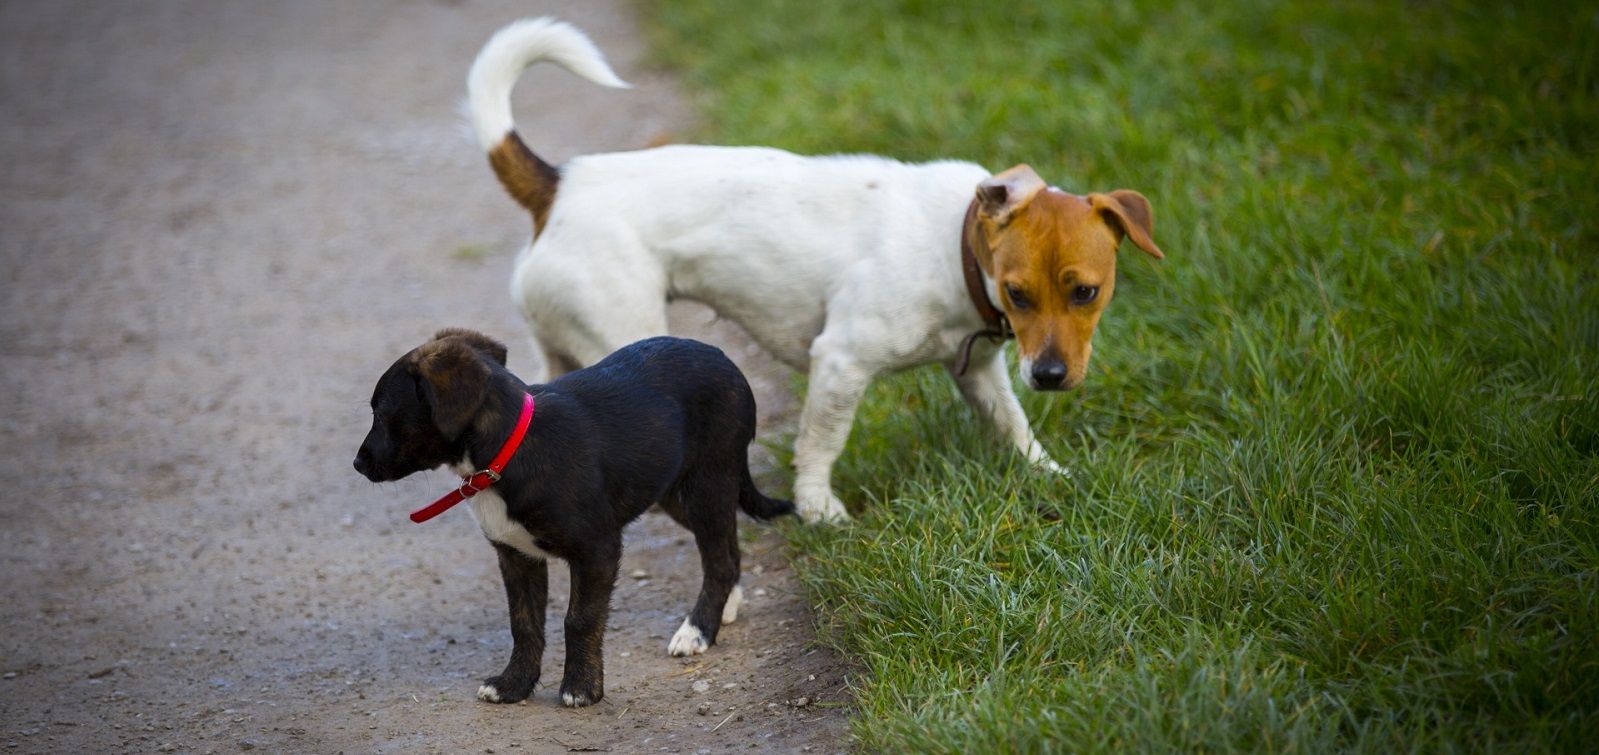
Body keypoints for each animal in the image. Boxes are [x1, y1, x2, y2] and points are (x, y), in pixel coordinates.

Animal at [354, 329, 793, 707]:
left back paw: (697, 631)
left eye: (382, 412)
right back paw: (724, 608)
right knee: (728, 550)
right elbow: (524, 624)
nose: (357, 464)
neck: (507, 452)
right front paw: (514, 685)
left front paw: (582, 687)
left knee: (719, 559)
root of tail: (725, 359)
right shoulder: (517, 556)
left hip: (708, 483)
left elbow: (579, 619)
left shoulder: (597, 549)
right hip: (674, 492)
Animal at [463, 19, 1164, 524]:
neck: (956, 244)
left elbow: (1013, 427)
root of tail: (559, 185)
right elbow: (821, 445)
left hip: (559, 349)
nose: (1049, 376)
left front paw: (1050, 475)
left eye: (1087, 292)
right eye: (1018, 294)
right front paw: (819, 509)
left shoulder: (983, 374)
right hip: (624, 338)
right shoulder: (840, 363)